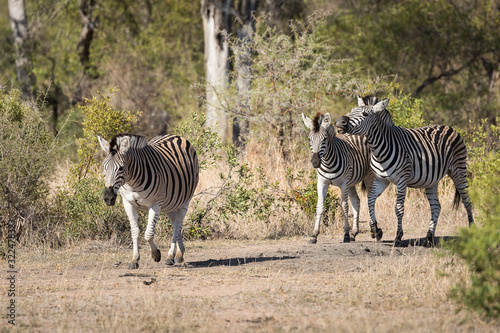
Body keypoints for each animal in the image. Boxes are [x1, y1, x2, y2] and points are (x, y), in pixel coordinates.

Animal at [97, 132, 199, 268]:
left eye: (121, 168)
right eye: (104, 167)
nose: (108, 198)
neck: (132, 183)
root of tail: (175, 136)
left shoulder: (155, 204)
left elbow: (148, 234)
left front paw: (156, 254)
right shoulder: (128, 203)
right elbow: (135, 232)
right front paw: (134, 259)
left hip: (184, 200)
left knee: (177, 225)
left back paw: (175, 255)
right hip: (168, 204)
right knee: (174, 223)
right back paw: (176, 254)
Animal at [300, 110, 376, 243]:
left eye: (324, 139)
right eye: (309, 139)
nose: (315, 162)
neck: (328, 162)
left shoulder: (344, 183)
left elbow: (344, 206)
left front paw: (345, 234)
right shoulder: (322, 182)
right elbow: (320, 206)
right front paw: (314, 235)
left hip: (368, 176)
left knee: (370, 200)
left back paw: (374, 231)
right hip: (352, 181)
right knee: (356, 201)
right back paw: (354, 233)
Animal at [336, 97, 472, 245]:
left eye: (365, 114)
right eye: (351, 110)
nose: (340, 121)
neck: (378, 150)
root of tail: (449, 127)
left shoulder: (401, 180)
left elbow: (398, 208)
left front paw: (398, 236)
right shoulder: (381, 179)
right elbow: (370, 200)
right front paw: (375, 230)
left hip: (458, 171)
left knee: (467, 201)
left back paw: (473, 230)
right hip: (432, 180)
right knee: (436, 206)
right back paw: (429, 238)